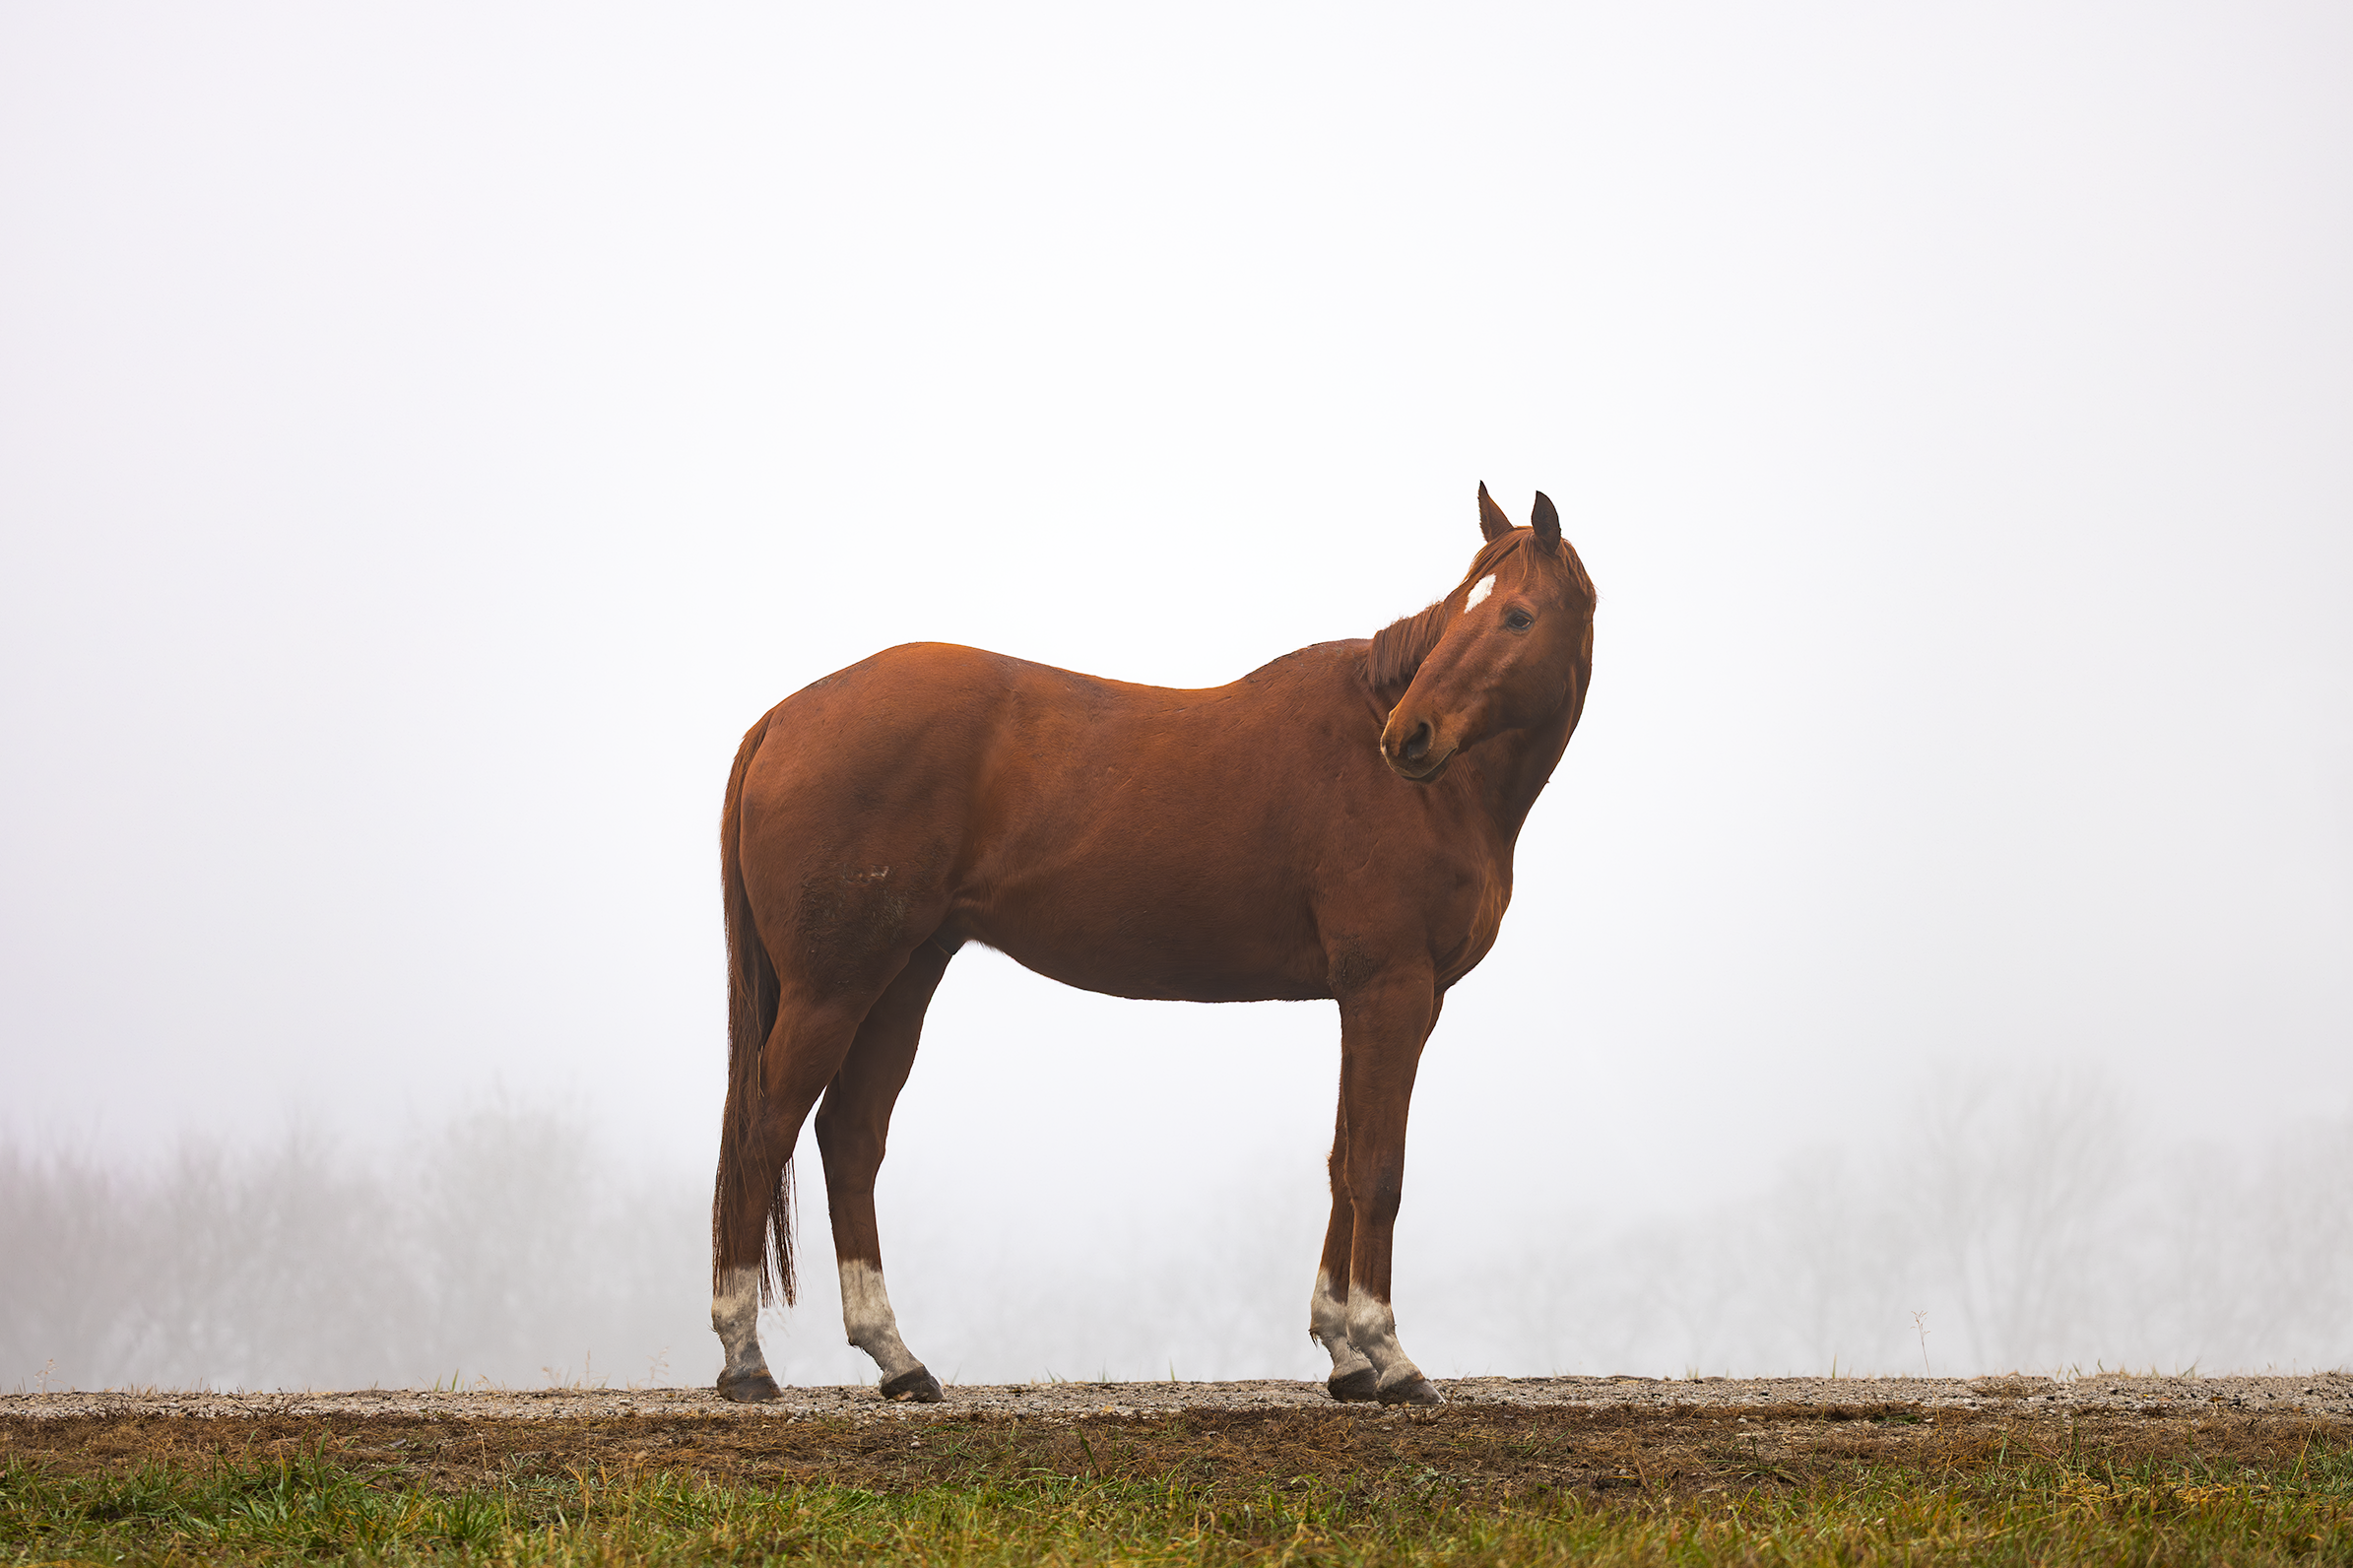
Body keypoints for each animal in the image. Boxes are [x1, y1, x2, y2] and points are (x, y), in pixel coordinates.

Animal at [711, 484, 1597, 1405]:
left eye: (1517, 616)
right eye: (1463, 611)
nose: (1408, 737)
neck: (1428, 788)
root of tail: (783, 718)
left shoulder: (1389, 997)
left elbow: (1342, 1158)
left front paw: (1343, 1352)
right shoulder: (1389, 986)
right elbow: (1376, 1169)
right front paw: (1388, 1357)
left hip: (902, 977)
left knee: (849, 1136)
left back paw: (897, 1358)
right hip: (833, 988)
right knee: (763, 1131)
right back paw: (745, 1360)